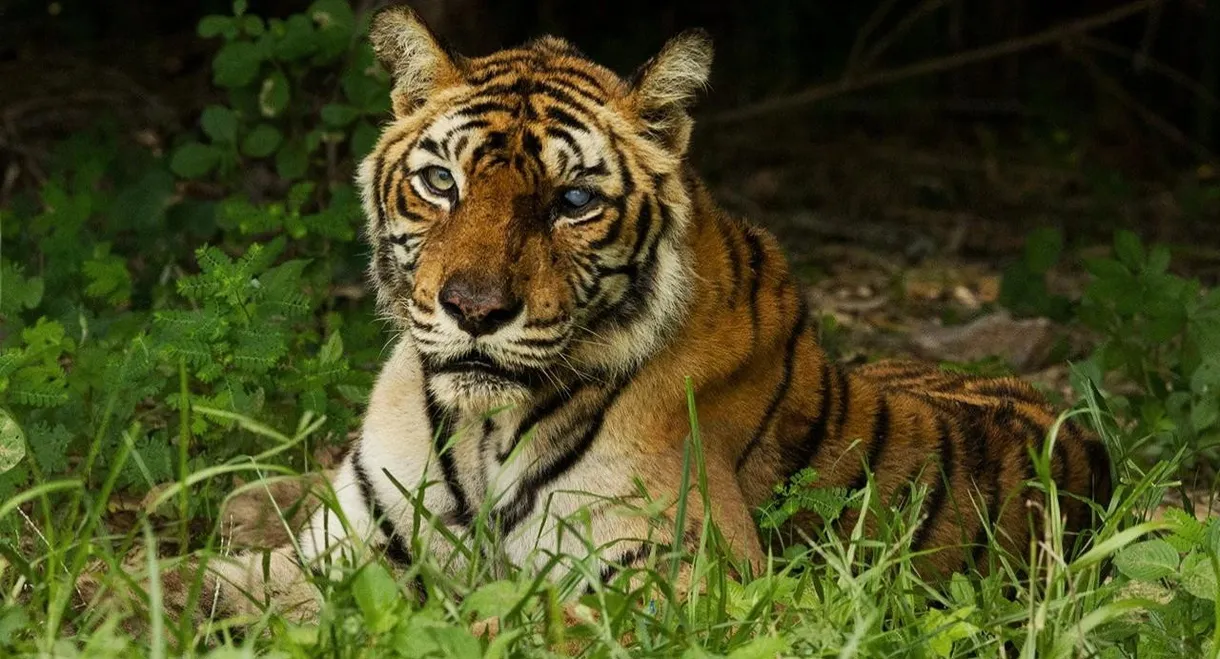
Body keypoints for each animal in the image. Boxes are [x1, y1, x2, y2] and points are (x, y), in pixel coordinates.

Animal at [156, 4, 1113, 631]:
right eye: (439, 182)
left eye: (573, 201)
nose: (473, 309)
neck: (479, 428)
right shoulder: (363, 543)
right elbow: (203, 581)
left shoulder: (685, 577)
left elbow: (512, 621)